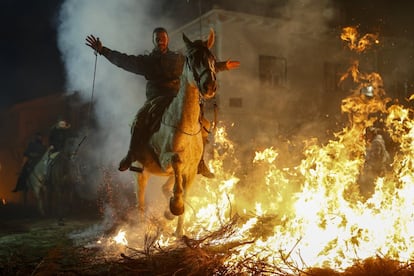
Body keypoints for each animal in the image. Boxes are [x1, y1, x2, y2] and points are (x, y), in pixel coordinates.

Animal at [133, 28, 218, 237]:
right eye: (192, 58)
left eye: (212, 58)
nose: (209, 86)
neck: (186, 124)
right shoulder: (166, 160)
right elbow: (176, 161)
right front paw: (176, 206)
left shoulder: (192, 170)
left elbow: (184, 191)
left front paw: (178, 229)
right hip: (141, 173)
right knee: (140, 202)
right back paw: (140, 228)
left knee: (165, 187)